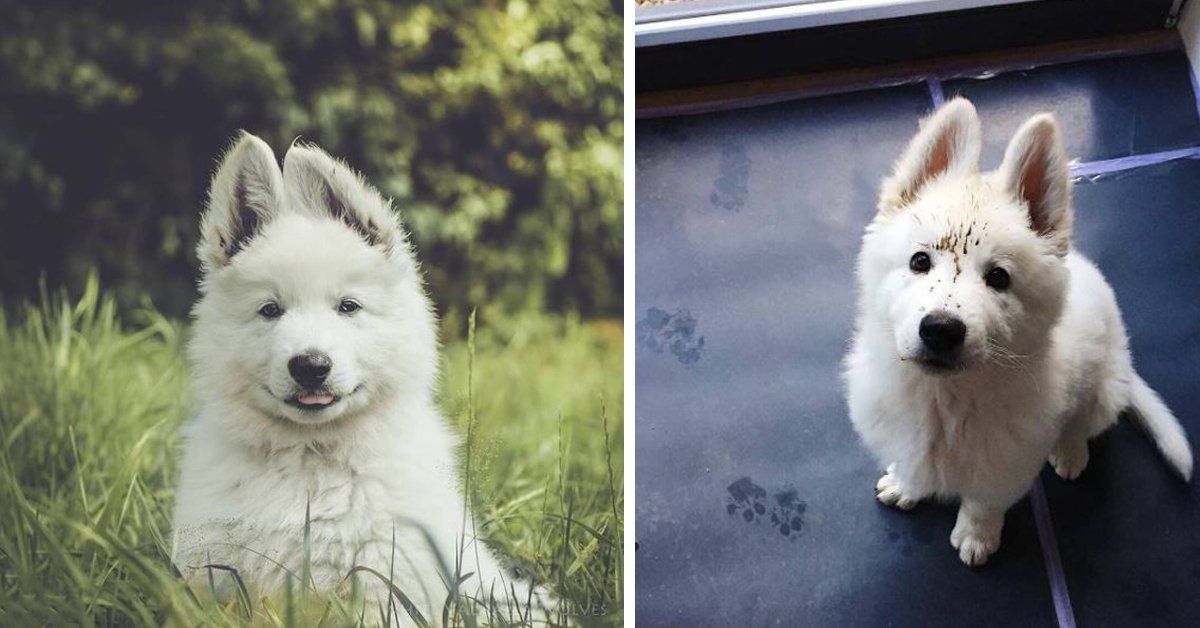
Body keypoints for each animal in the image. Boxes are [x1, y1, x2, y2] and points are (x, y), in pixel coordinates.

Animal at [171, 131, 537, 619]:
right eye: (270, 310)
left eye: (348, 307)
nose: (310, 366)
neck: (309, 460)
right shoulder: (214, 578)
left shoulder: (387, 588)